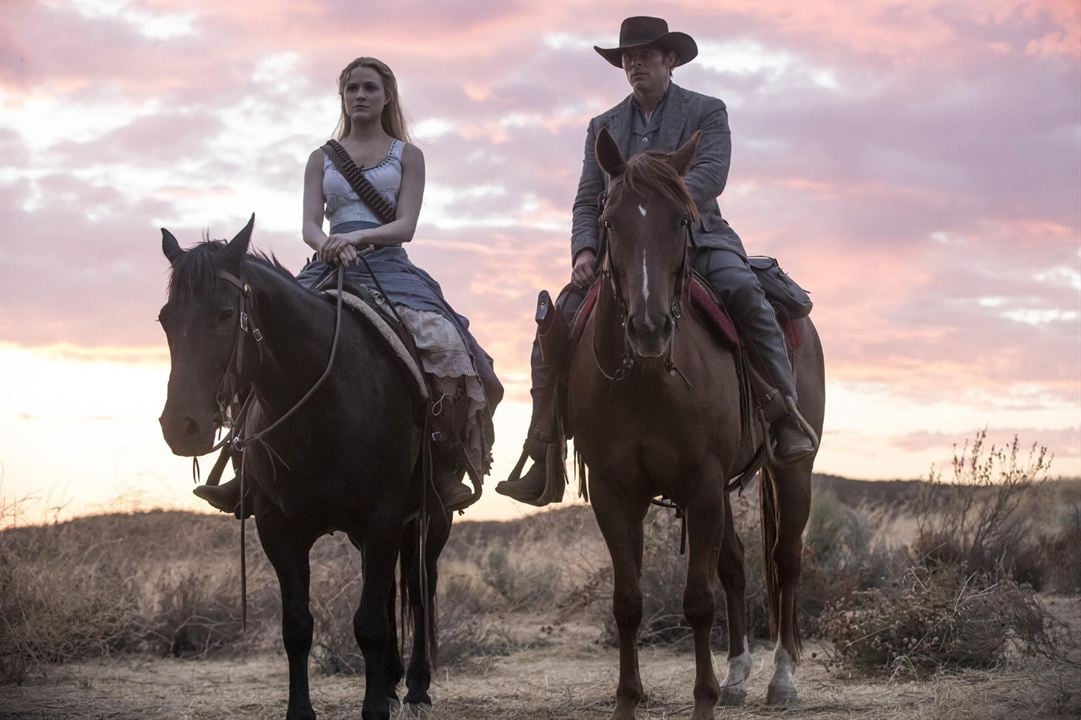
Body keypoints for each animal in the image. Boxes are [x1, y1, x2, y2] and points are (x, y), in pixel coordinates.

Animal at [566, 127, 825, 713]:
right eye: (610, 220)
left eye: (682, 220)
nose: (648, 327)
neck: (647, 380)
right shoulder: (617, 491)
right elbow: (628, 601)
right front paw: (628, 699)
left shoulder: (701, 482)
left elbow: (697, 600)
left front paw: (703, 698)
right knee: (736, 564)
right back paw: (737, 676)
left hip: (789, 471)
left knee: (786, 560)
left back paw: (780, 679)